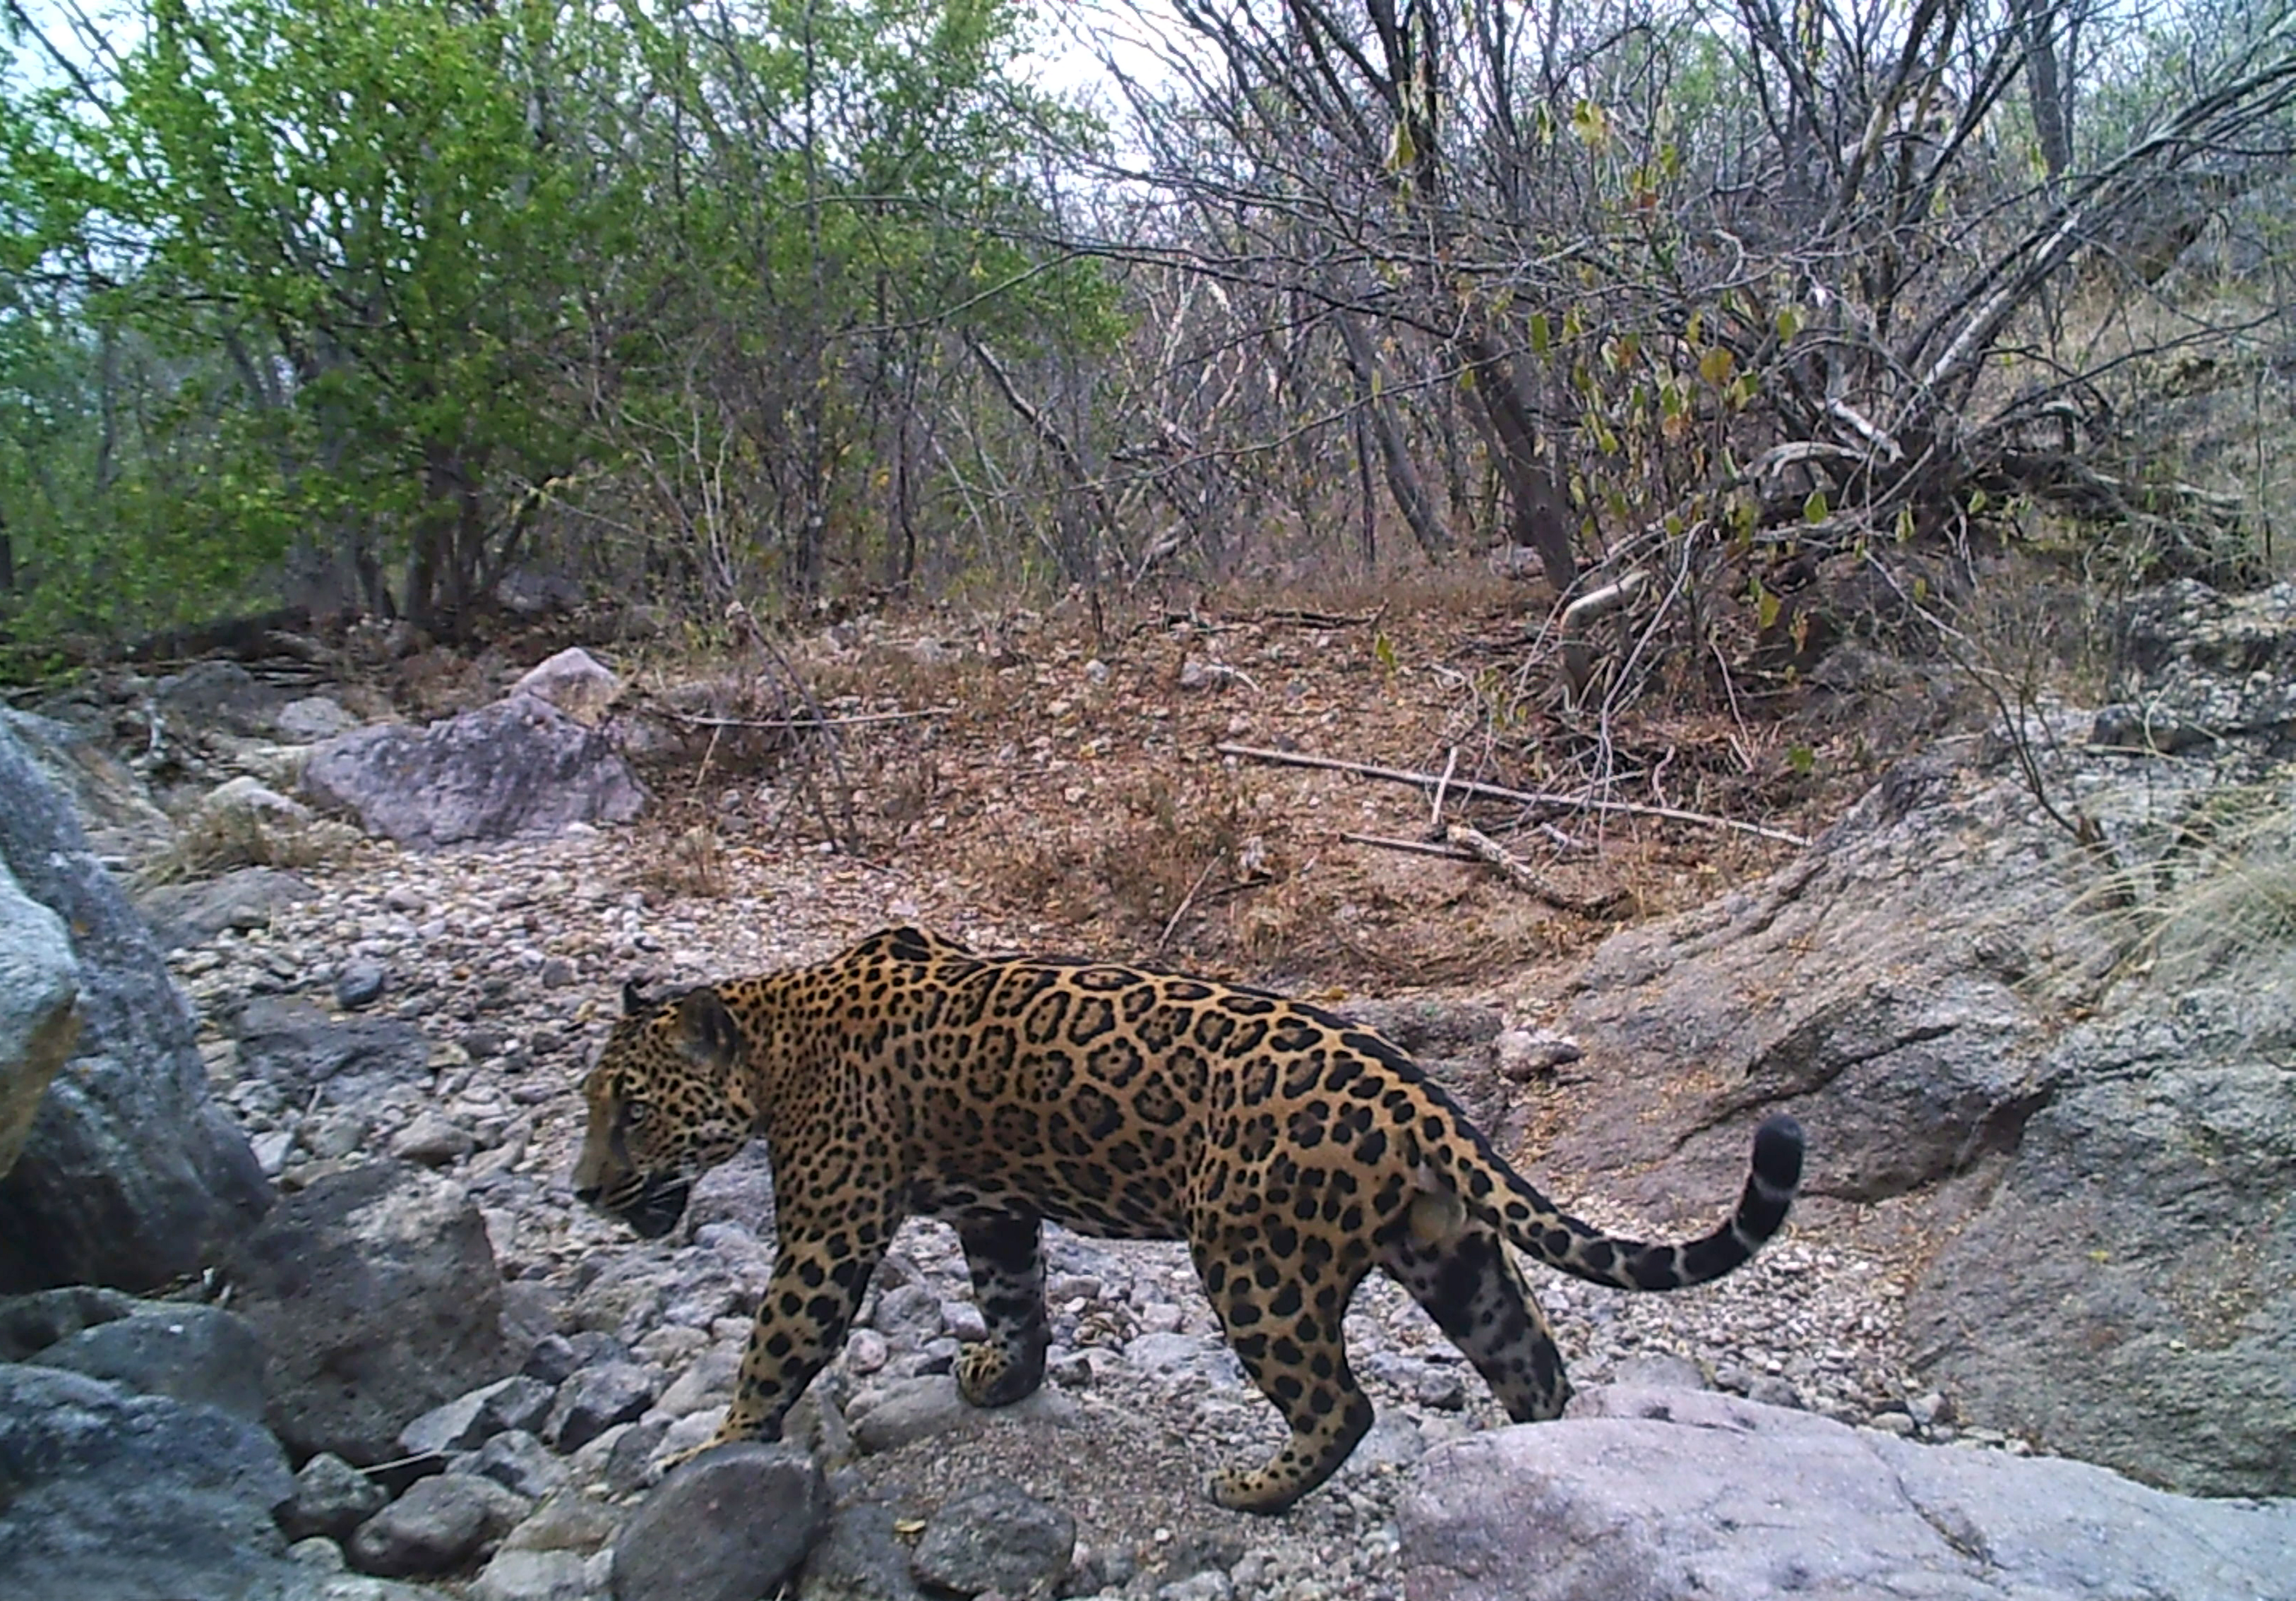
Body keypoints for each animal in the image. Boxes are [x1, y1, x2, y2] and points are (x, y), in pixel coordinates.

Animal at [572, 925, 1804, 1514]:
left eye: (629, 1111)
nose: (583, 1190)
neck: (776, 1038)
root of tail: (1421, 1100)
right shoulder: (995, 1210)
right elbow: (1012, 1300)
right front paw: (1002, 1378)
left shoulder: (829, 1233)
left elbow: (776, 1344)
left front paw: (713, 1454)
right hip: (1451, 1256)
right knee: (1533, 1370)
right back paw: (1536, 1458)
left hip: (1254, 1262)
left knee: (1344, 1405)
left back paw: (1255, 1490)